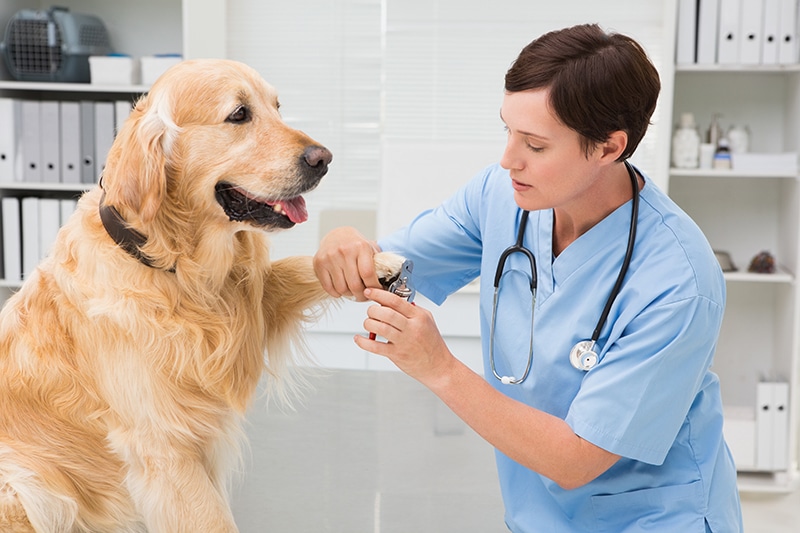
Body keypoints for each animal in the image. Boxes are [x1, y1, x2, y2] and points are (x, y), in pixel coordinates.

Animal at [0, 60, 400, 528]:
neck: (176, 268)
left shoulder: (251, 303)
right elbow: (212, 520)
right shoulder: (164, 446)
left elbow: (298, 267)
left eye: (277, 106)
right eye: (239, 114)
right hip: (28, 489)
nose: (324, 159)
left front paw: (373, 262)